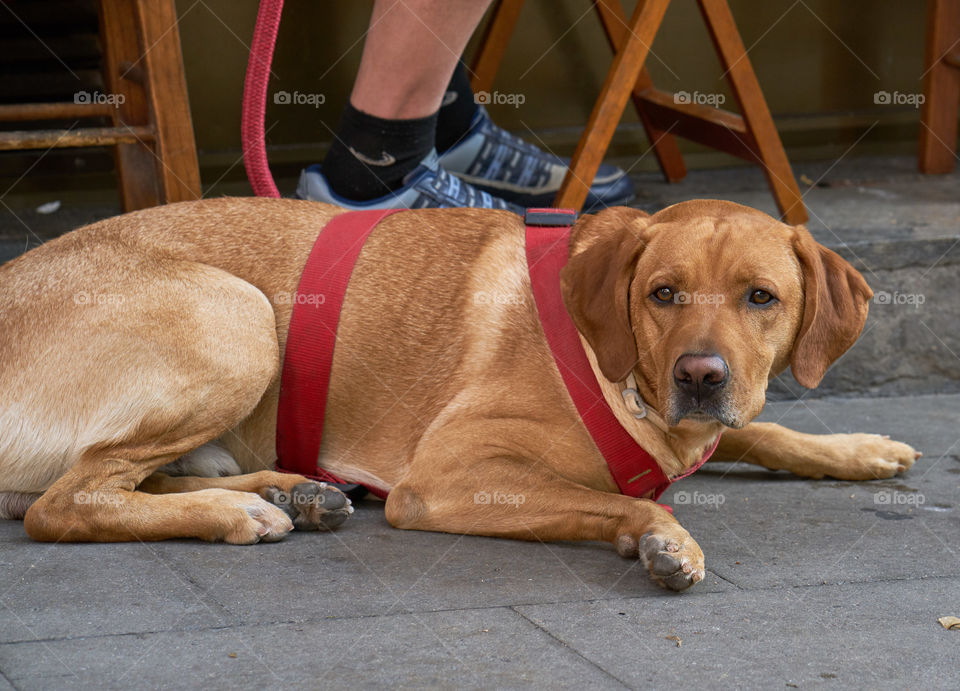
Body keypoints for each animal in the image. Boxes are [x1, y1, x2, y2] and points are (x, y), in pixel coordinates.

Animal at [0, 197, 916, 592]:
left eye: (762, 297)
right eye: (663, 293)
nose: (701, 374)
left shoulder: (717, 415)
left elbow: (760, 430)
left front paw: (857, 449)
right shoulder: (445, 477)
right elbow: (624, 501)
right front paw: (665, 538)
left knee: (124, 479)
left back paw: (291, 492)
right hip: (238, 315)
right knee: (63, 502)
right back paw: (236, 513)